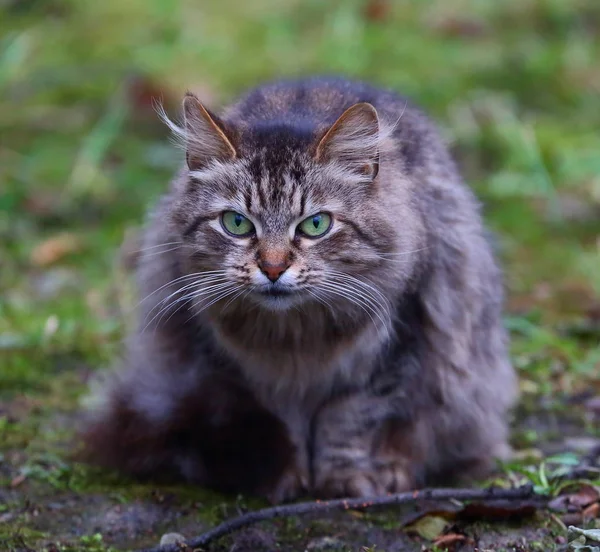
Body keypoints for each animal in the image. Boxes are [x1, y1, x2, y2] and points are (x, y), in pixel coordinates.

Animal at [78, 75, 516, 502]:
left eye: (315, 225)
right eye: (237, 224)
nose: (273, 268)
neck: (294, 339)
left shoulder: (394, 347)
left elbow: (347, 424)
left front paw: (344, 481)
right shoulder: (241, 373)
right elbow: (280, 425)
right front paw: (287, 478)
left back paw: (396, 471)